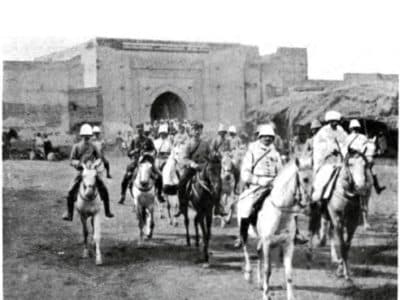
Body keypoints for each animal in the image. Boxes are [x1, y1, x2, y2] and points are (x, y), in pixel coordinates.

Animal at [239, 157, 314, 300]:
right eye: (305, 179)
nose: (311, 204)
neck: (281, 213)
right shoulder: (267, 243)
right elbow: (268, 270)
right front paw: (265, 295)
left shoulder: (288, 244)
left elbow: (288, 273)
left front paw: (290, 297)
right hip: (245, 231)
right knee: (245, 249)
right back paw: (249, 274)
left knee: (258, 251)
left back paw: (259, 282)